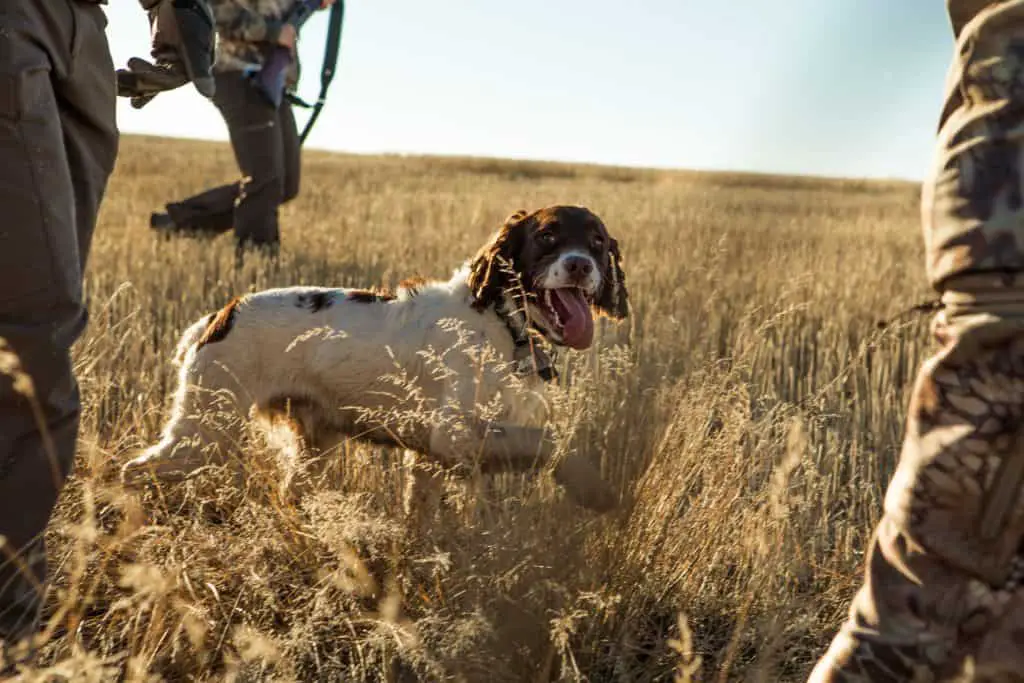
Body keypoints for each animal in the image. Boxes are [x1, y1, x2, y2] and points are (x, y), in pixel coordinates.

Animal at [122, 205, 626, 516]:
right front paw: (593, 489)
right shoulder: (453, 435)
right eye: (547, 236)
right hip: (203, 434)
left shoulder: (429, 457)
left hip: (310, 444)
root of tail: (219, 315)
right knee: (132, 471)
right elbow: (550, 441)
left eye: (597, 242)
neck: (503, 323)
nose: (580, 265)